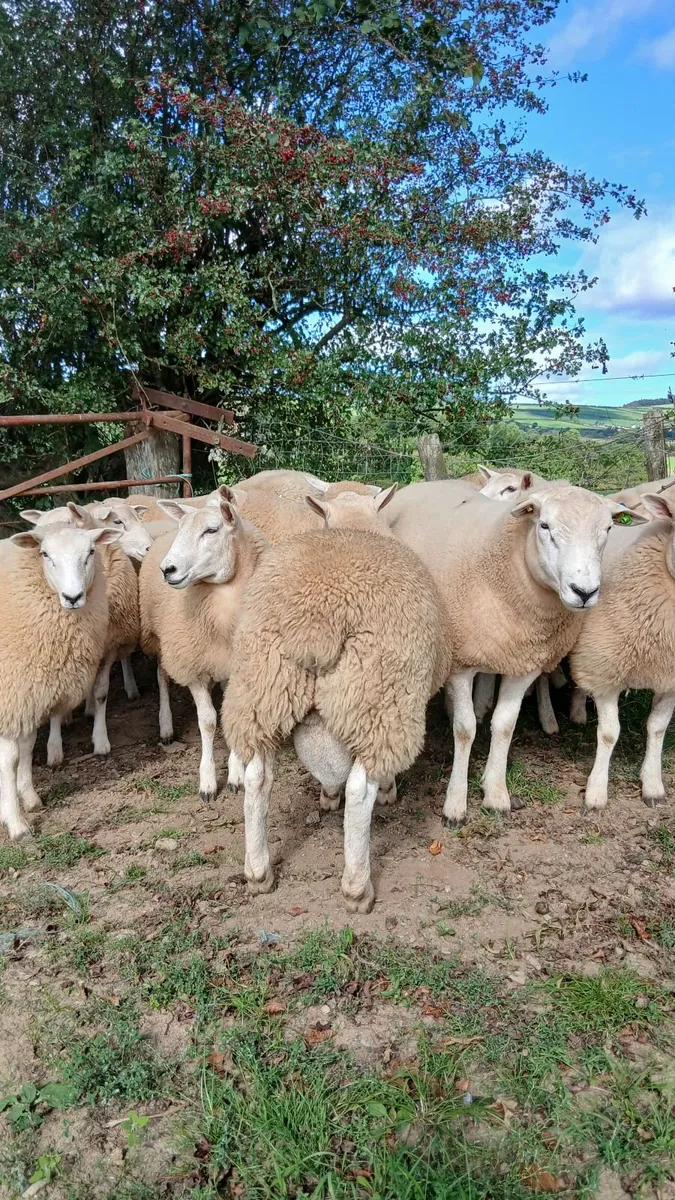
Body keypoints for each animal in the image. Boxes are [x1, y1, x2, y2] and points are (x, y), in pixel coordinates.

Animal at [0, 520, 119, 839]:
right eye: (45, 554)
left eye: (91, 552)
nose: (73, 598)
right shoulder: (10, 696)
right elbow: (9, 760)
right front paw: (15, 823)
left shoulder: (30, 693)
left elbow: (27, 746)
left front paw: (29, 797)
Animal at [138, 489, 268, 801]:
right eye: (184, 529)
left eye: (212, 530)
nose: (167, 569)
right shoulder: (193, 667)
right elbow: (207, 721)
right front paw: (208, 781)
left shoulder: (237, 667)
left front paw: (236, 775)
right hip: (162, 640)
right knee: (162, 677)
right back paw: (165, 726)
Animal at [221, 526, 449, 912]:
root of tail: (314, 617)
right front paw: (387, 790)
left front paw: (328, 795)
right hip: (380, 699)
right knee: (359, 789)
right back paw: (358, 888)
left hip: (262, 690)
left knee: (257, 780)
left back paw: (259, 873)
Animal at [387, 479, 632, 825]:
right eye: (544, 526)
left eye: (608, 529)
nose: (584, 592)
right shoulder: (460, 662)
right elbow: (464, 730)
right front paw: (455, 804)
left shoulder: (523, 663)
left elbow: (504, 725)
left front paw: (496, 793)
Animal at [569, 490, 675, 811]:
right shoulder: (605, 668)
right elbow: (608, 733)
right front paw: (596, 792)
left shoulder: (670, 678)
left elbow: (657, 727)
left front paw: (652, 784)